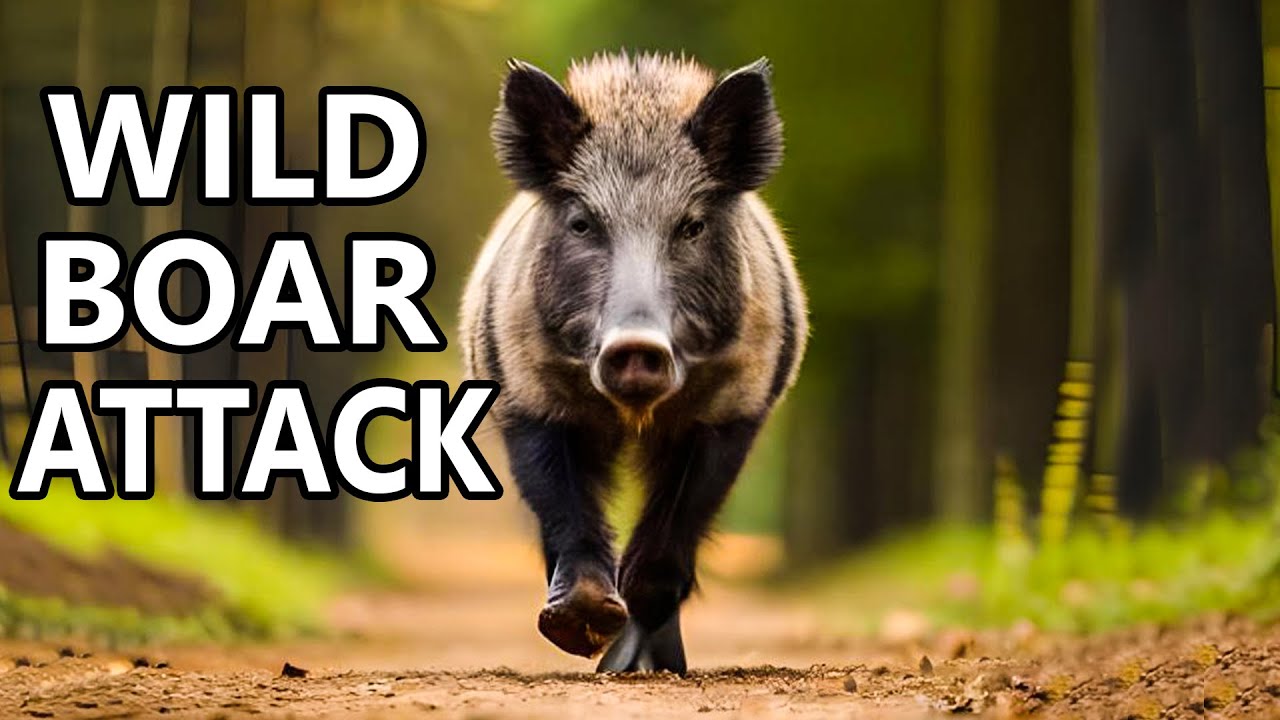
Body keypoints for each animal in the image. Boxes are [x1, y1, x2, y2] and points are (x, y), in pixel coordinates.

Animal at [459, 52, 807, 673]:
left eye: (691, 225)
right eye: (582, 223)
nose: (636, 345)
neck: (631, 414)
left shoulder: (734, 408)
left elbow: (675, 533)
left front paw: (632, 666)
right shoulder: (527, 398)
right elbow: (563, 506)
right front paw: (582, 623)